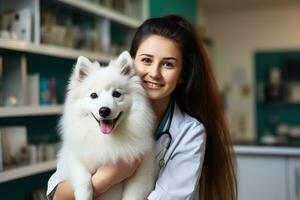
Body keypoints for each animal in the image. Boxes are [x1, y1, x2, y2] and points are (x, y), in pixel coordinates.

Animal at [55, 51, 156, 200]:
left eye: (116, 94)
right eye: (93, 95)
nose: (104, 110)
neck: (106, 139)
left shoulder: (142, 172)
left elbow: (132, 194)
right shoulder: (75, 159)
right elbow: (84, 181)